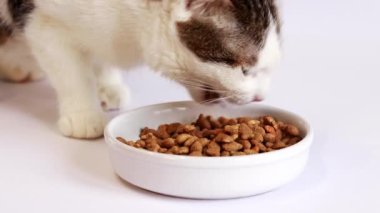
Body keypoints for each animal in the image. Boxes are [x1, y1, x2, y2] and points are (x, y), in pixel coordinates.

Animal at [0, 0, 282, 139]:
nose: (261, 97)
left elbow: (101, 55)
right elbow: (71, 74)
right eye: (245, 69)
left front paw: (109, 85)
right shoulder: (41, 23)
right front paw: (83, 113)